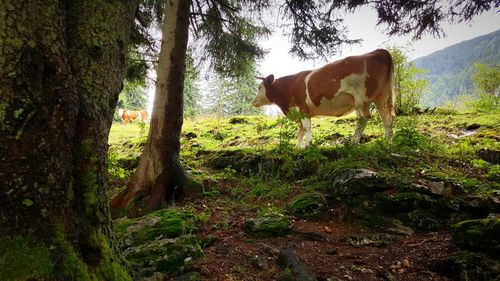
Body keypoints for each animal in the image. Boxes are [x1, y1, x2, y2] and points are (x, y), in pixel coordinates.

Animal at [254, 48, 394, 147]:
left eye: (259, 87)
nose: (253, 102)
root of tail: (378, 51)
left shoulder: (302, 107)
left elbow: (306, 127)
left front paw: (308, 145)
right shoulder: (300, 112)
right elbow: (300, 131)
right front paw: (297, 147)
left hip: (360, 98)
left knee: (363, 118)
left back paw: (353, 142)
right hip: (383, 95)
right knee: (387, 117)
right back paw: (387, 141)